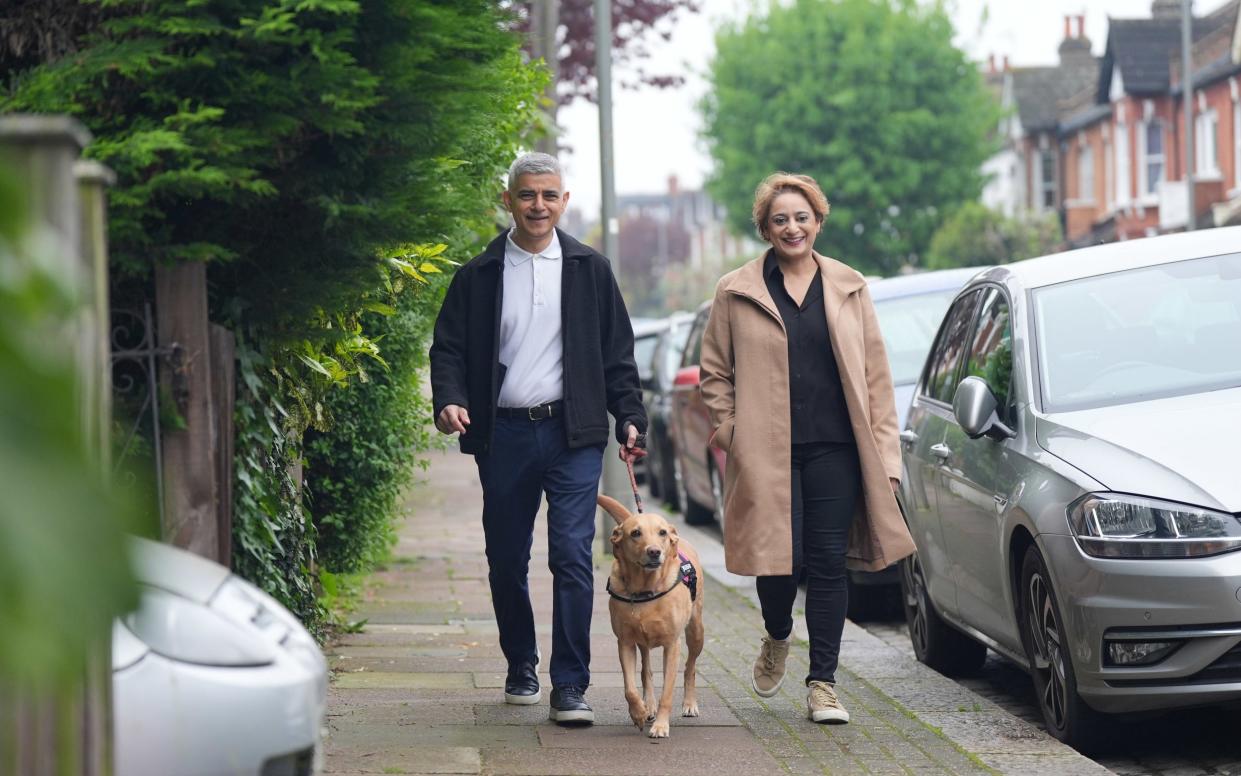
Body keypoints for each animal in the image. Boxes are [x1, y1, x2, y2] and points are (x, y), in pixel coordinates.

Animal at [595, 494, 704, 735]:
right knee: (646, 671)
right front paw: (639, 713)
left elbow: (668, 692)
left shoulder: (672, 645)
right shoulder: (625, 643)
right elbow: (630, 688)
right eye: (635, 533)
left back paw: (689, 704)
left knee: (690, 667)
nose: (655, 551)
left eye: (661, 533)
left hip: (696, 632)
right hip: (643, 643)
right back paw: (649, 706)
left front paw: (661, 726)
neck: (645, 590)